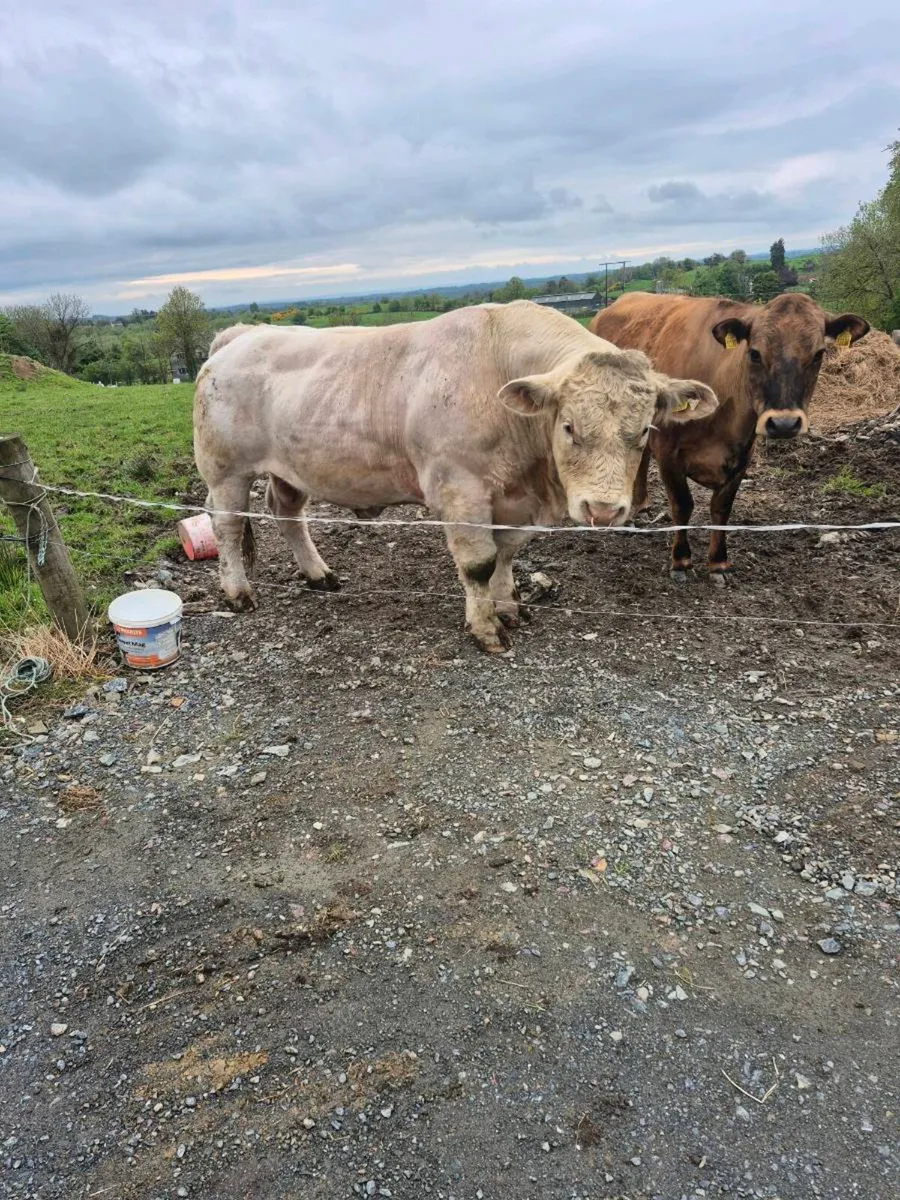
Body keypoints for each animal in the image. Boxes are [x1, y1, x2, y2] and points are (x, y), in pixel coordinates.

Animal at [193, 301, 717, 652]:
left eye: (645, 429)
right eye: (568, 426)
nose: (604, 509)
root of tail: (240, 334)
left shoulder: (512, 500)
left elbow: (506, 555)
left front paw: (508, 607)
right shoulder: (460, 489)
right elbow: (479, 564)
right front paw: (486, 629)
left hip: (290, 468)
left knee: (287, 513)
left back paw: (318, 574)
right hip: (225, 471)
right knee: (228, 526)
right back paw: (238, 593)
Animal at [589, 292, 869, 582]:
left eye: (818, 354)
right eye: (754, 353)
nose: (784, 423)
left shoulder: (743, 455)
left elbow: (722, 509)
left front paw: (718, 563)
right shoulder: (668, 451)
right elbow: (682, 505)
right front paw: (680, 561)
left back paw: (641, 503)